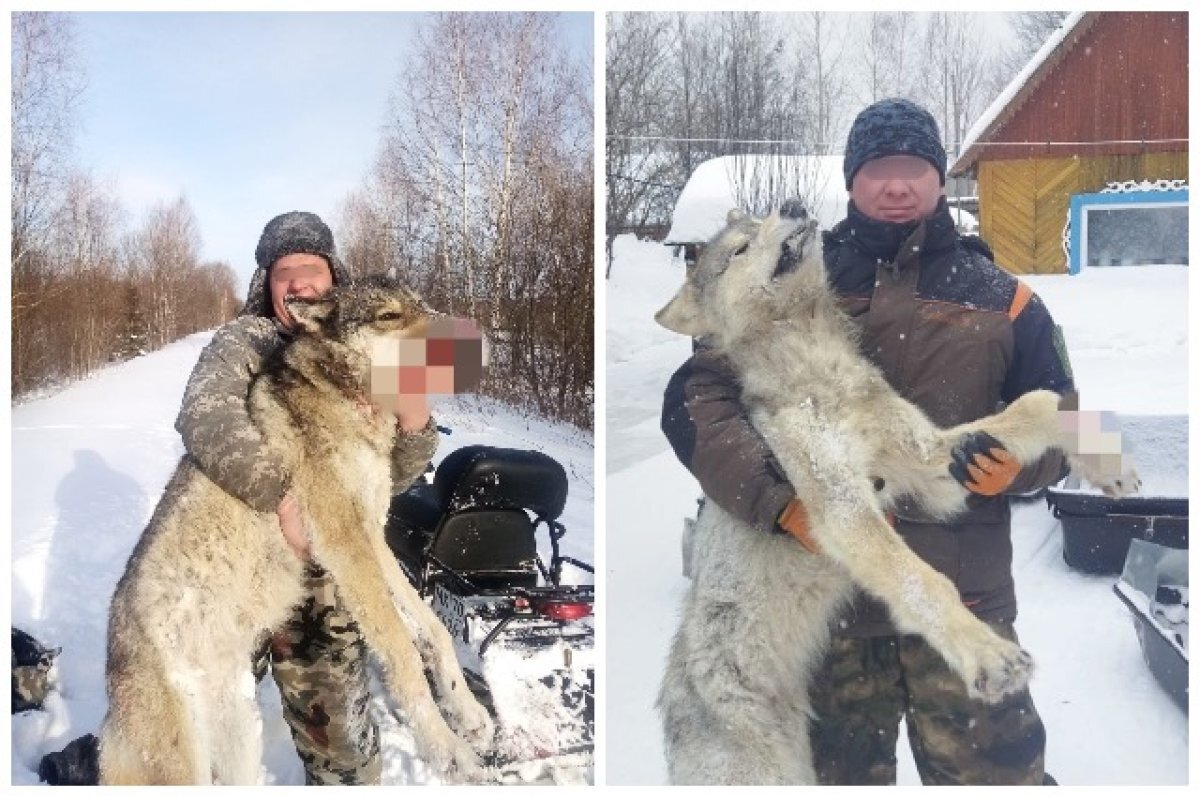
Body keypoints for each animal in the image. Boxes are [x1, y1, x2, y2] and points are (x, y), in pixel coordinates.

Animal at [97, 279, 492, 782]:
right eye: (389, 316)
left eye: (422, 305)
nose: (478, 343)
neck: (348, 397)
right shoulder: (346, 542)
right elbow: (402, 651)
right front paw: (447, 749)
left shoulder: (373, 537)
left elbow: (434, 631)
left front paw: (468, 712)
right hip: (184, 766)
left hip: (240, 744)